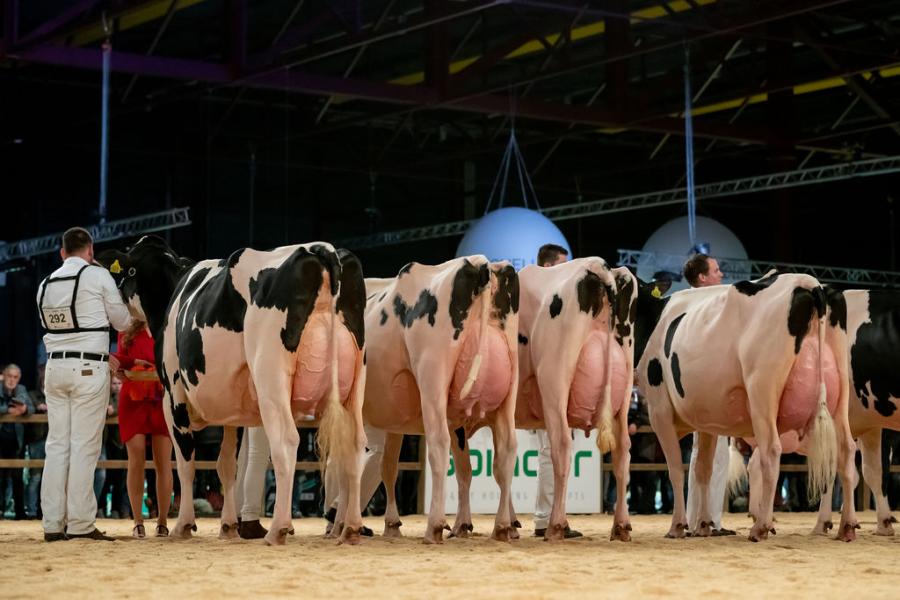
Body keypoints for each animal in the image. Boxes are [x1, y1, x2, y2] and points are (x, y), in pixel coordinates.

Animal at [98, 237, 366, 548]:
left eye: (128, 271)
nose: (120, 308)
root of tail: (321, 248)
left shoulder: (173, 396)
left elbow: (186, 464)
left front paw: (184, 524)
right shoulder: (231, 409)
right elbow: (226, 464)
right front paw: (227, 525)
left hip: (271, 377)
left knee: (286, 443)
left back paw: (278, 528)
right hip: (355, 381)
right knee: (356, 444)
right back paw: (351, 527)